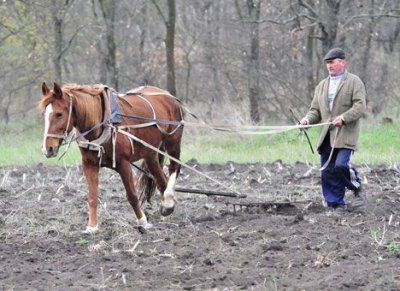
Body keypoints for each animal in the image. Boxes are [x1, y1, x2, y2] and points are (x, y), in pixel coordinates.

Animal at [39, 83, 184, 234]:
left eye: (59, 114)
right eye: (44, 114)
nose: (47, 149)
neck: (102, 123)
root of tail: (169, 95)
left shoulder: (123, 164)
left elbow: (132, 195)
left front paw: (142, 222)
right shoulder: (89, 164)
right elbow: (92, 197)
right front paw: (92, 227)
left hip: (173, 141)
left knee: (174, 167)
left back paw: (168, 202)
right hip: (150, 153)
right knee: (161, 181)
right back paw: (167, 210)